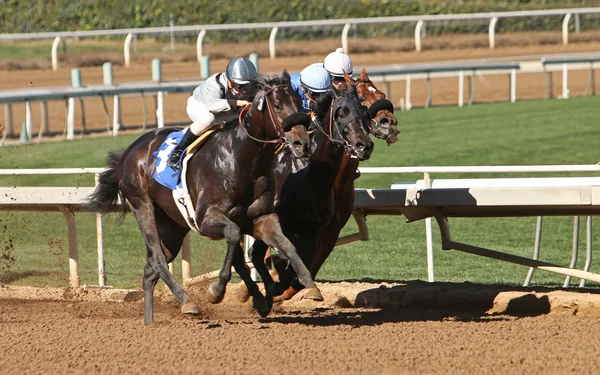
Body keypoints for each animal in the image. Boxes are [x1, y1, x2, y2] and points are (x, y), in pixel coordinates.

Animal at [86, 72, 312, 324]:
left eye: (300, 103)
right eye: (278, 105)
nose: (303, 144)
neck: (240, 161)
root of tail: (128, 153)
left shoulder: (260, 218)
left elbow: (283, 244)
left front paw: (306, 283)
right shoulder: (205, 219)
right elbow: (233, 237)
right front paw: (217, 291)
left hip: (172, 224)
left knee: (150, 269)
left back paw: (150, 321)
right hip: (142, 205)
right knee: (158, 259)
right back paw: (187, 302)